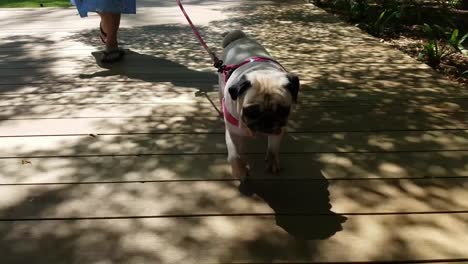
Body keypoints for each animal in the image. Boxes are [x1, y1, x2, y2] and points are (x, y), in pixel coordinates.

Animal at [218, 29, 300, 194]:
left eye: (283, 110)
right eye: (252, 111)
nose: (267, 119)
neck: (263, 72)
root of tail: (239, 37)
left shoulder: (278, 128)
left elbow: (273, 148)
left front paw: (272, 162)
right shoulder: (233, 132)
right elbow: (234, 156)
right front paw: (240, 171)